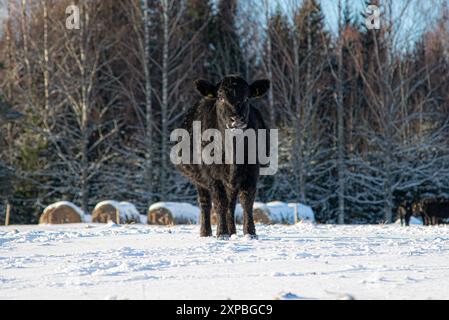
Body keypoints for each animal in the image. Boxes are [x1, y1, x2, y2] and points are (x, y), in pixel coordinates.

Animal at [176, 75, 270, 239]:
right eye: (220, 98)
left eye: (247, 98)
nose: (236, 119)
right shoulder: (212, 176)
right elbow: (219, 202)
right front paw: (222, 233)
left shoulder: (252, 172)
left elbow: (247, 201)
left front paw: (250, 233)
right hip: (199, 180)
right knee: (206, 203)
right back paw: (206, 233)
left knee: (231, 204)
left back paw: (232, 230)